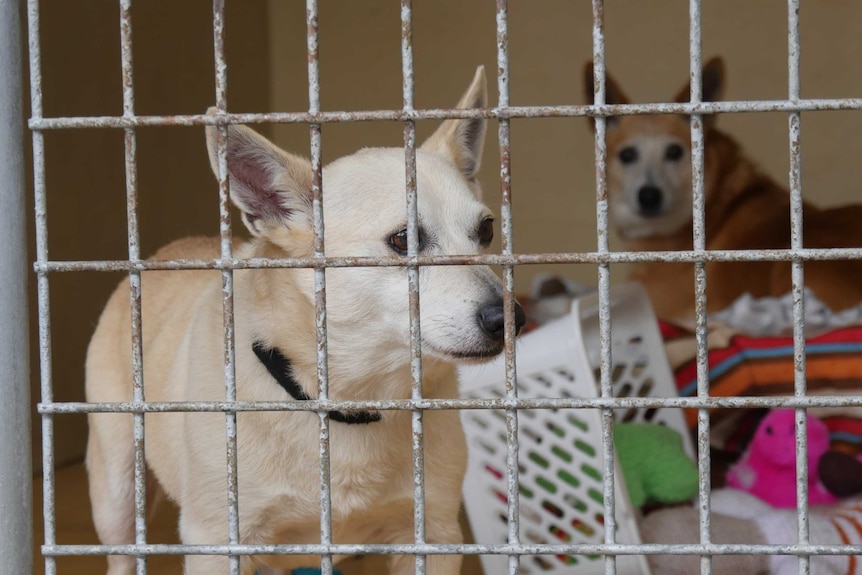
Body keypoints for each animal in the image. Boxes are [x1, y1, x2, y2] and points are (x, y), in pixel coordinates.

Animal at [84, 65, 528, 572]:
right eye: (403, 241)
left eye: (486, 230)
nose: (510, 318)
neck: (353, 401)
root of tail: (163, 253)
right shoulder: (218, 543)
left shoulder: (432, 537)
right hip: (118, 492)